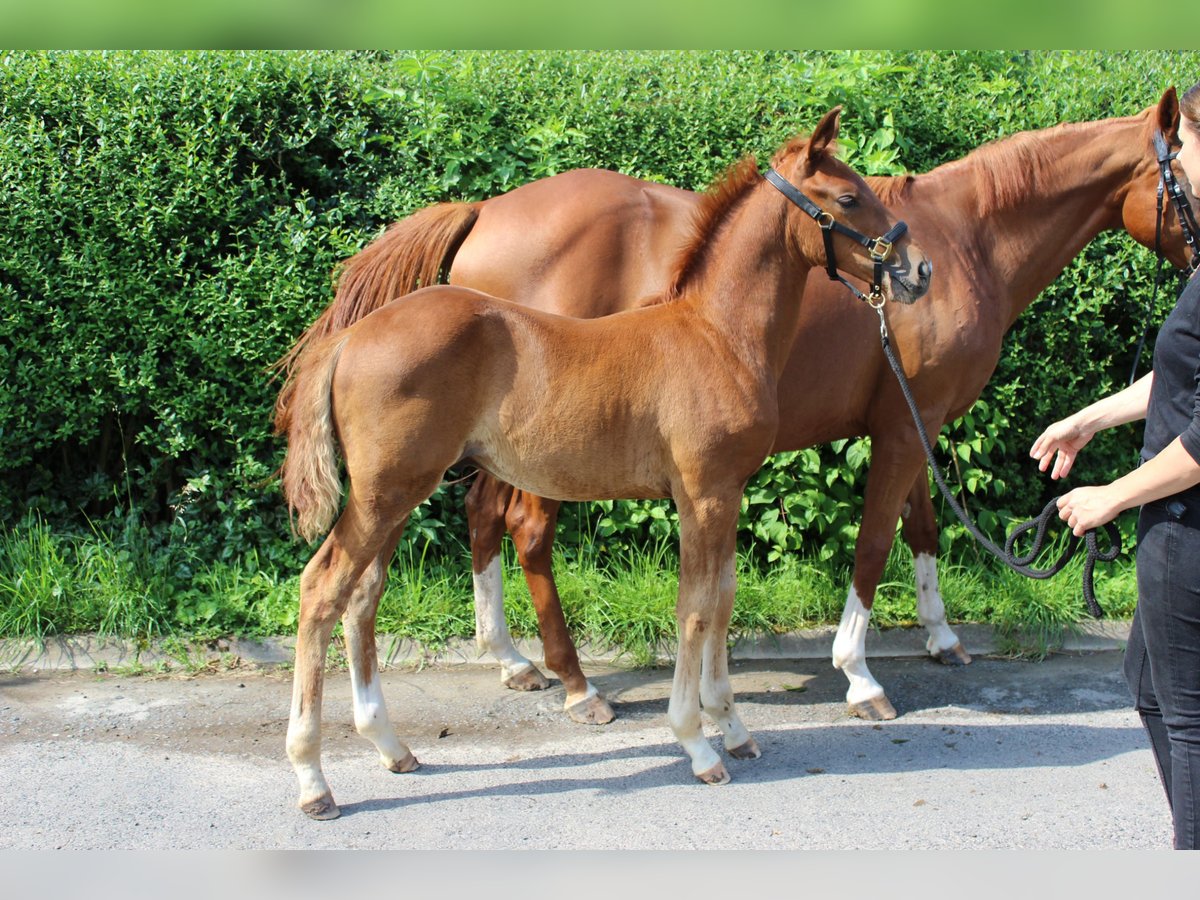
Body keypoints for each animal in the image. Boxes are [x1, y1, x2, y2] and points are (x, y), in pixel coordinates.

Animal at [276, 109, 931, 820]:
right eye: (848, 198)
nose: (919, 269)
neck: (717, 334)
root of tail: (351, 337)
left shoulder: (727, 491)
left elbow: (724, 600)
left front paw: (732, 726)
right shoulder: (702, 493)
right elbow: (696, 608)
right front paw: (697, 745)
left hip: (395, 493)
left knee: (362, 595)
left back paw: (391, 747)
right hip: (386, 492)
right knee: (322, 589)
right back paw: (312, 778)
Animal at [283, 90, 1200, 724]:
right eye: (1189, 176)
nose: (915, 274)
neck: (968, 234)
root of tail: (486, 212)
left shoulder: (916, 418)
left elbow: (923, 526)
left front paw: (941, 636)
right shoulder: (903, 427)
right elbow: (876, 542)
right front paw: (858, 673)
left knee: (482, 517)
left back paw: (513, 657)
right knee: (526, 533)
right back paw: (575, 684)